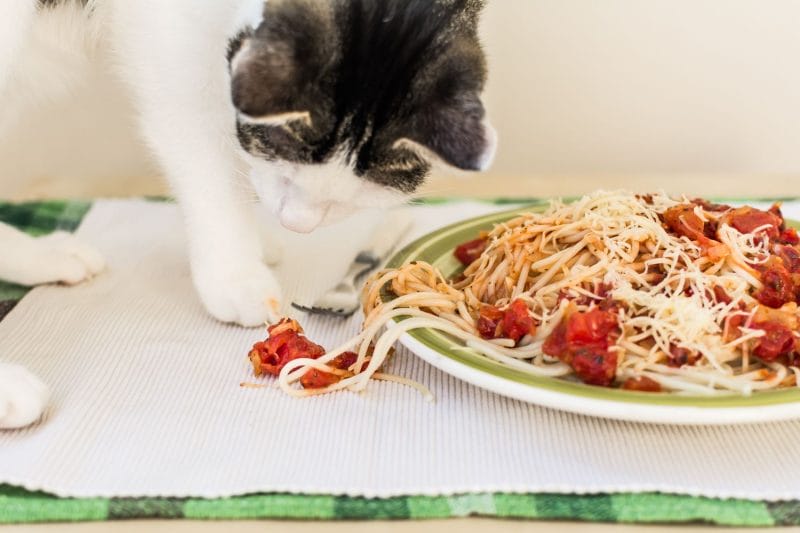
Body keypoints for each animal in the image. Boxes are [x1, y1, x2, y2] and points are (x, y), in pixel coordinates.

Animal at [0, 0, 496, 426]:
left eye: (346, 200)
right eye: (284, 166)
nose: (297, 223)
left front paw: (256, 243)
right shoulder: (168, 41)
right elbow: (204, 145)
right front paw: (234, 273)